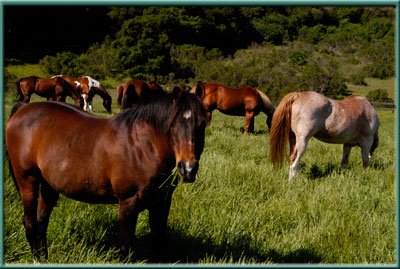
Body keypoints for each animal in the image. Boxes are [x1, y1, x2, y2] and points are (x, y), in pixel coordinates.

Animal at [5, 84, 206, 260]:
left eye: (202, 124)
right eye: (172, 124)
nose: (187, 168)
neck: (143, 146)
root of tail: (22, 109)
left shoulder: (161, 204)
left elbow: (160, 243)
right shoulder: (128, 202)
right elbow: (125, 247)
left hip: (49, 186)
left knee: (41, 222)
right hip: (27, 181)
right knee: (30, 223)